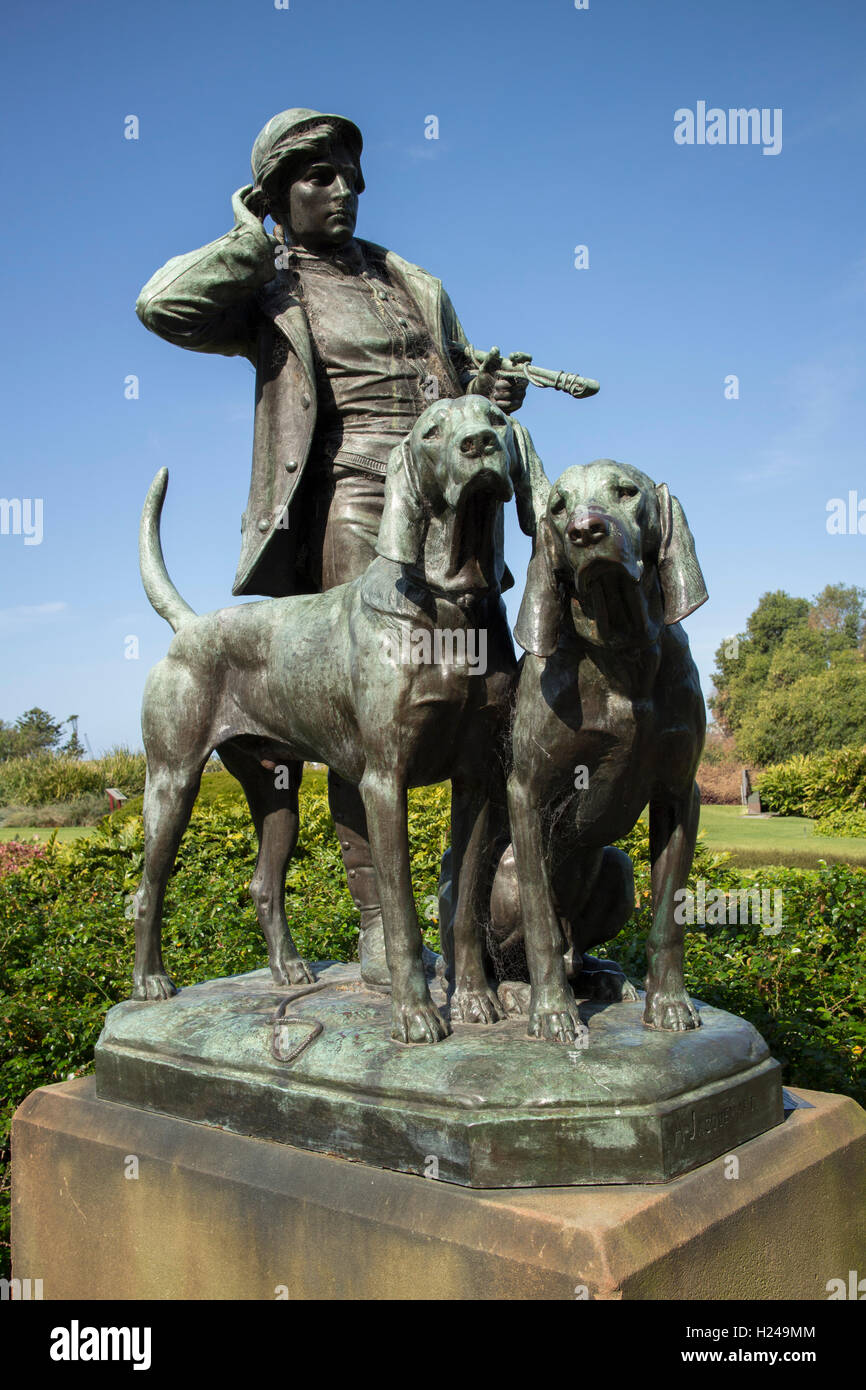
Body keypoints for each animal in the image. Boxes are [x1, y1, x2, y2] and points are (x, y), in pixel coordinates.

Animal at [134, 391, 536, 1045]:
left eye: (496, 418)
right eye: (431, 432)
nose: (478, 444)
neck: (452, 603)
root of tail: (190, 626)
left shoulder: (477, 779)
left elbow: (467, 905)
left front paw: (476, 1000)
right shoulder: (384, 782)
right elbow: (400, 910)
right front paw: (416, 1014)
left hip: (277, 795)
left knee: (263, 884)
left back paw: (289, 969)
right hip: (172, 781)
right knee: (149, 887)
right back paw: (149, 982)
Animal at [505, 458, 708, 1045]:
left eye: (626, 492)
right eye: (557, 506)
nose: (585, 531)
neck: (621, 652)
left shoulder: (680, 795)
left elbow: (668, 918)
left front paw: (670, 1003)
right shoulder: (527, 792)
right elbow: (541, 924)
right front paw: (552, 1012)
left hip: (618, 869)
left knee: (577, 951)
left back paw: (604, 977)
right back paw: (518, 993)